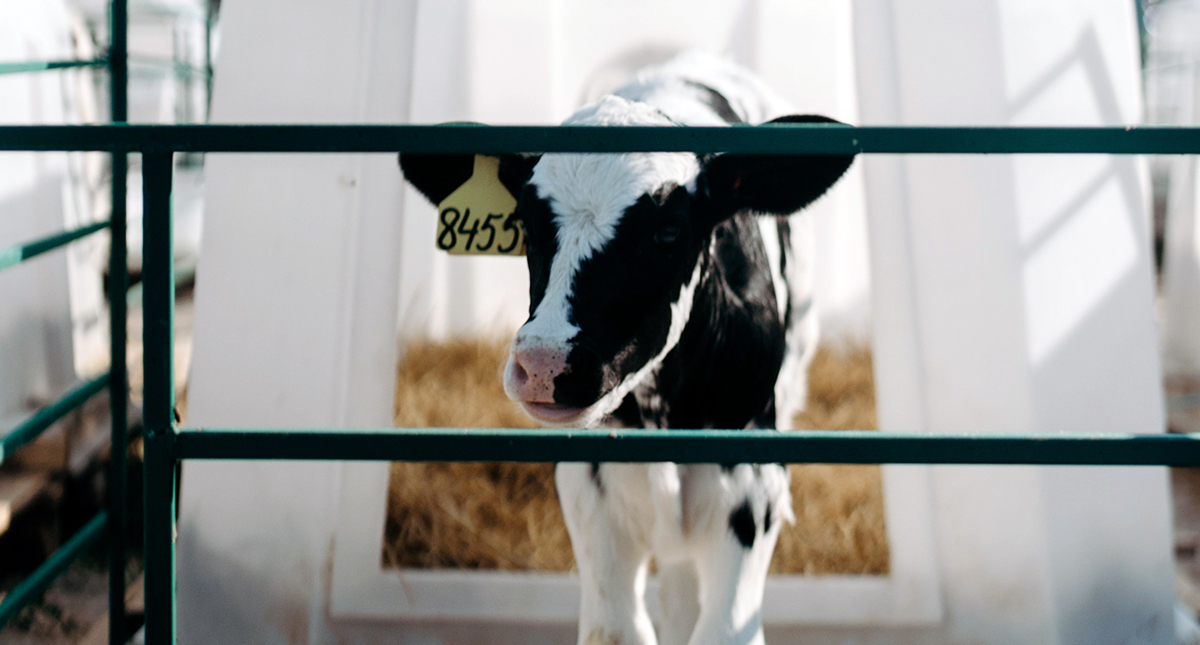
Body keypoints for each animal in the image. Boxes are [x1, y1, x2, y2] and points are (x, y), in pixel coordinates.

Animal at [400, 51, 855, 645]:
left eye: (669, 229)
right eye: (525, 222)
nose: (545, 364)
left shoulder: (753, 484)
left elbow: (722, 630)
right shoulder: (592, 489)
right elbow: (617, 628)